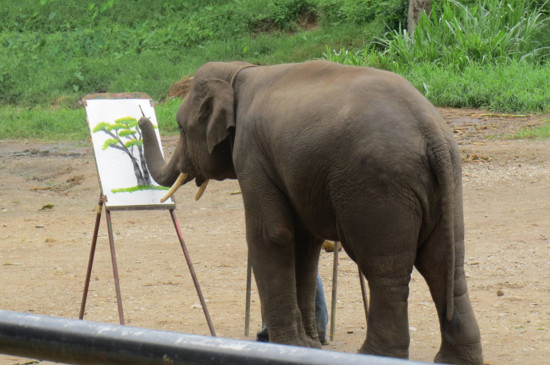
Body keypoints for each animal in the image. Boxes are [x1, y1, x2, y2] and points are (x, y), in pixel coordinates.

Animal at [140, 60, 486, 364]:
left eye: (181, 129)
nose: (142, 117)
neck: (239, 72)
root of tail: (432, 132)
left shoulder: (252, 153)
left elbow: (271, 235)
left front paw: (287, 345)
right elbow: (305, 245)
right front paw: (307, 346)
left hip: (378, 188)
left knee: (386, 271)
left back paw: (373, 355)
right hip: (445, 184)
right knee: (445, 264)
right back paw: (454, 360)